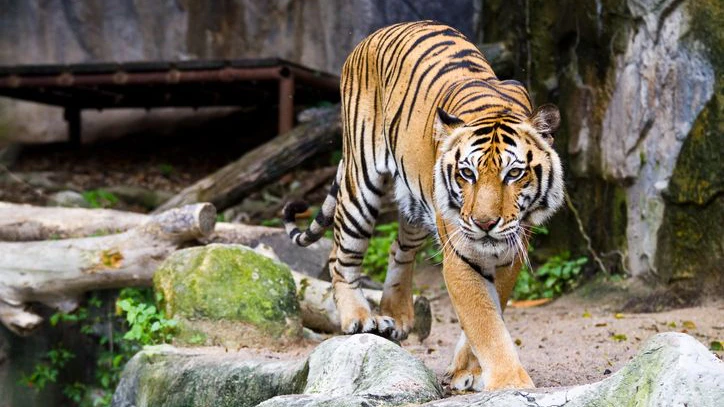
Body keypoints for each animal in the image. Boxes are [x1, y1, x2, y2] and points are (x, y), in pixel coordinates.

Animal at [283, 21, 564, 391]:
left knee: (398, 250)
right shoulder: (460, 255)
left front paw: (468, 371)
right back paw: (359, 318)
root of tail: (378, 32)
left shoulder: (510, 252)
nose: (485, 223)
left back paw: (397, 316)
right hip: (361, 182)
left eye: (514, 173)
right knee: (340, 256)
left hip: (415, 202)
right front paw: (509, 383)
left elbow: (491, 311)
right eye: (467, 173)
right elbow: (484, 321)